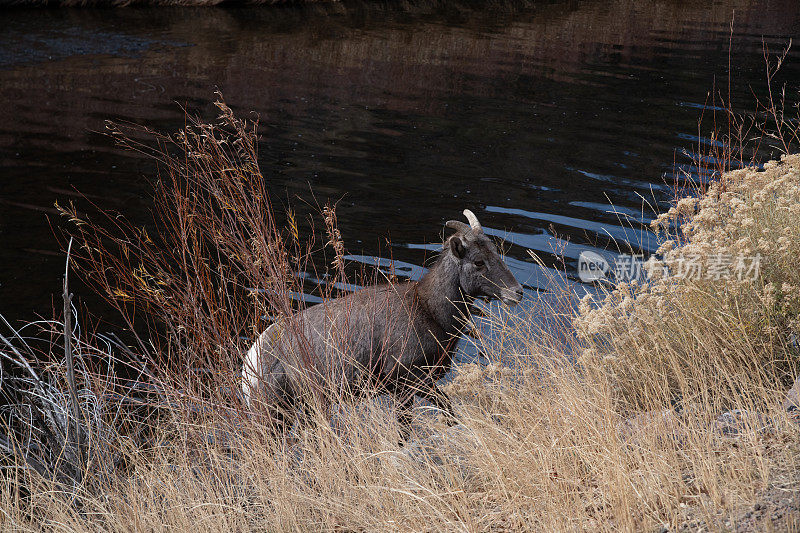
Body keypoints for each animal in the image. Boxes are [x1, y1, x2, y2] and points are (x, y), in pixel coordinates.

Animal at [241, 208, 520, 436]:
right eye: (478, 262)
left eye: (496, 254)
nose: (516, 293)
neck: (428, 309)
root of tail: (251, 361)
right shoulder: (405, 384)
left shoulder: (422, 384)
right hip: (275, 415)